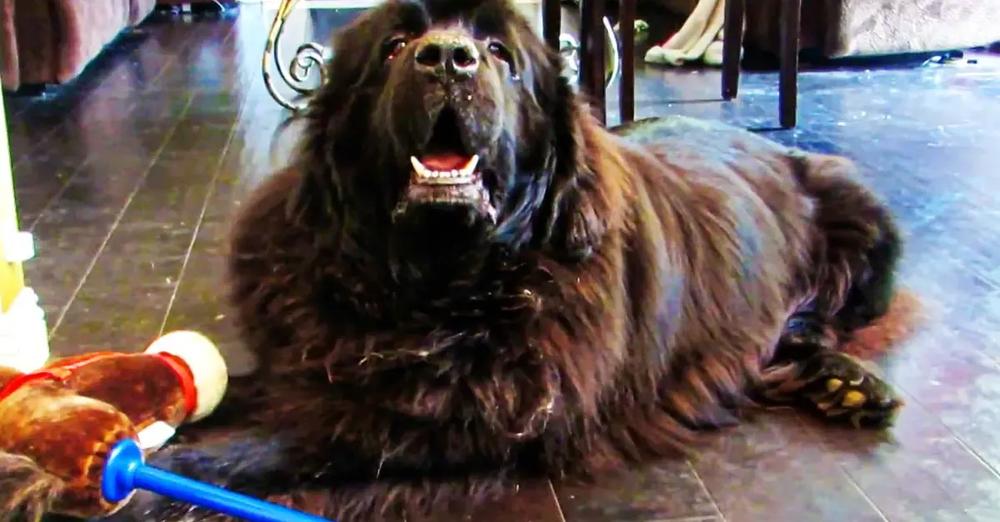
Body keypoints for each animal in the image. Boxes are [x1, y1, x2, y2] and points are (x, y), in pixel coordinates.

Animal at [0, 1, 916, 520]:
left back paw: (845, 378)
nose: (447, 57)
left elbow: (277, 446)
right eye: (397, 44)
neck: (432, 286)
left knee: (810, 318)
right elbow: (257, 393)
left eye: (504, 54)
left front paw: (102, 478)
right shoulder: (323, 362)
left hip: (866, 225)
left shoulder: (459, 426)